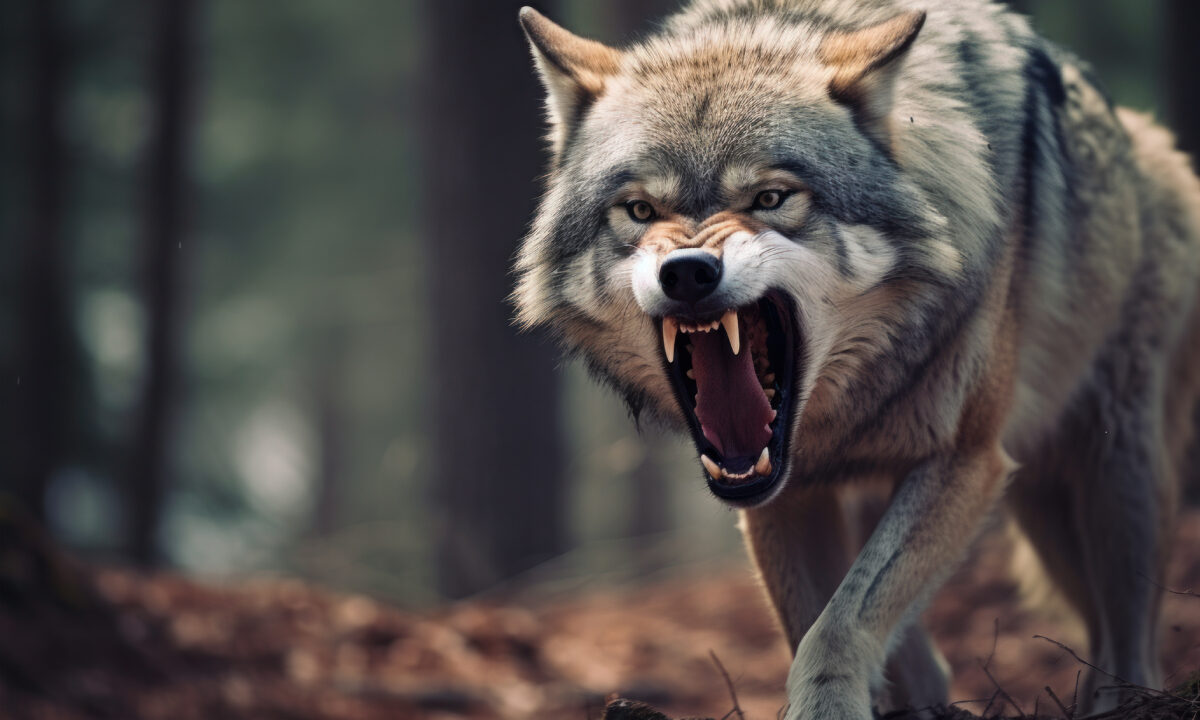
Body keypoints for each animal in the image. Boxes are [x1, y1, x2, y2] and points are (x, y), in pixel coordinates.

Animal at [514, 0, 1200, 717]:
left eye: (770, 198)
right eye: (641, 210)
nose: (688, 272)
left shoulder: (969, 459)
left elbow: (840, 624)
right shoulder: (787, 496)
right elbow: (814, 620)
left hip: (1118, 477)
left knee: (1128, 642)